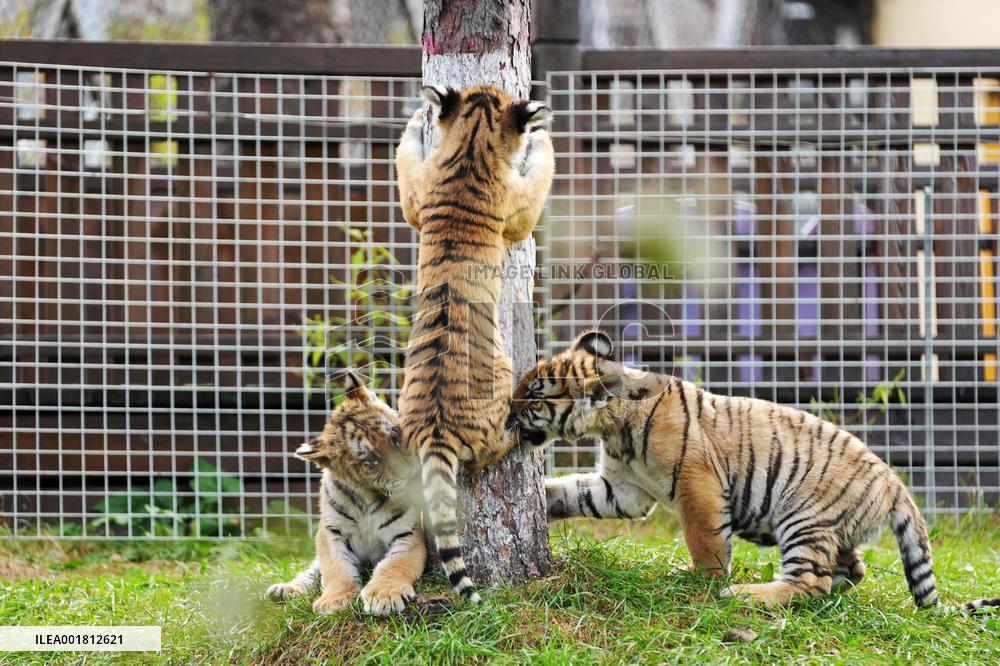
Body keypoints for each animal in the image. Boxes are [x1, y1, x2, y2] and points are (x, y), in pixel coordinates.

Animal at [266, 370, 426, 615]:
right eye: (371, 460)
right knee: (312, 571)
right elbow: (336, 568)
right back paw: (284, 590)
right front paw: (335, 599)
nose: (409, 473)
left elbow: (394, 565)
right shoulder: (331, 533)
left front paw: (384, 595)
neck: (368, 498)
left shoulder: (407, 534)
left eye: (395, 436)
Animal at [395, 84, 555, 602]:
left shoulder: (415, 199)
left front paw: (412, 123)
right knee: (489, 451)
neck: (471, 145)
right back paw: (519, 434)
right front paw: (543, 137)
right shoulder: (518, 210)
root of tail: (434, 429)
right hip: (501, 380)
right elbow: (540, 175)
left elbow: (405, 164)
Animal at [509, 330, 1000, 612]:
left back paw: (745, 594)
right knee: (849, 571)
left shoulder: (697, 484)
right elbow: (575, 493)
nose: (503, 413)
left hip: (804, 515)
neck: (612, 427)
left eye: (533, 395)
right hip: (831, 529)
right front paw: (546, 501)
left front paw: (702, 583)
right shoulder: (625, 488)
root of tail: (895, 483)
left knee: (812, 582)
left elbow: (706, 542)